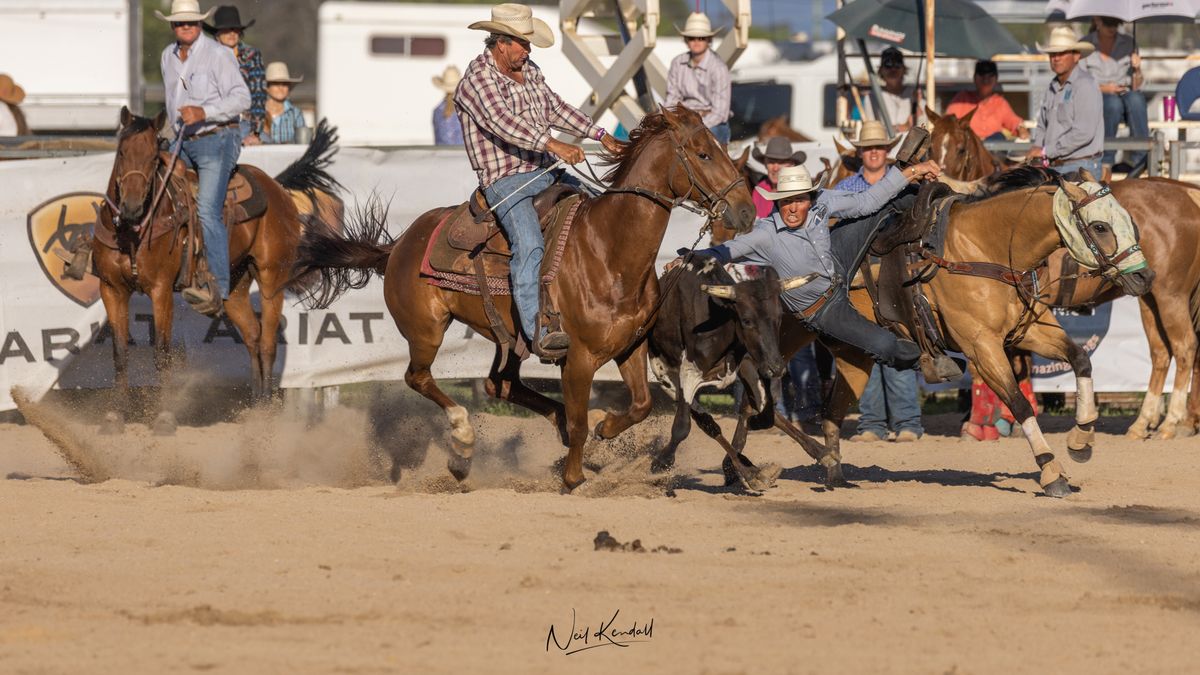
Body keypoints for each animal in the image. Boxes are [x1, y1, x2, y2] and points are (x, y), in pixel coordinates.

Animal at [91, 105, 336, 429]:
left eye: (154, 157)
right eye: (121, 152)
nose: (131, 207)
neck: (133, 233)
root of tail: (277, 187)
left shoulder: (161, 290)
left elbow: (162, 353)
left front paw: (164, 415)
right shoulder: (112, 289)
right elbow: (119, 353)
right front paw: (115, 414)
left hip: (272, 277)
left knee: (267, 342)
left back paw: (267, 411)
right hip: (234, 285)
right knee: (252, 335)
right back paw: (256, 406)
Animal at [290, 105, 753, 487]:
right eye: (703, 154)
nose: (746, 211)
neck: (608, 249)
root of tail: (400, 244)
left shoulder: (631, 347)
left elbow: (639, 405)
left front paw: (604, 430)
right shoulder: (579, 357)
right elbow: (583, 421)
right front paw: (573, 476)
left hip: (510, 338)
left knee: (500, 384)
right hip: (426, 330)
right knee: (418, 377)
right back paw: (463, 442)